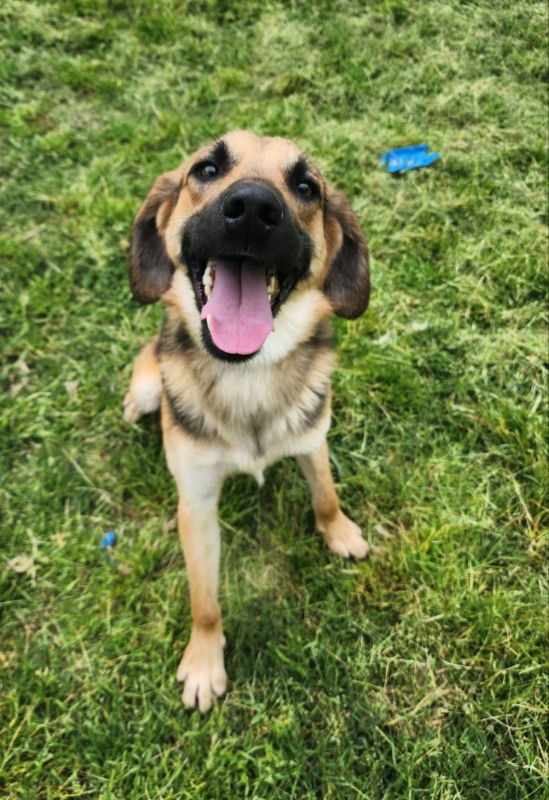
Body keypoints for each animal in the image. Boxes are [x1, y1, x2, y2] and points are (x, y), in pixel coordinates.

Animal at [123, 131, 370, 712]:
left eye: (306, 187)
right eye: (206, 169)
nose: (255, 210)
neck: (247, 373)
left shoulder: (313, 439)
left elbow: (325, 494)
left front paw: (339, 531)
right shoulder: (195, 502)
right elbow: (204, 599)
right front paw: (203, 661)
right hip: (147, 385)